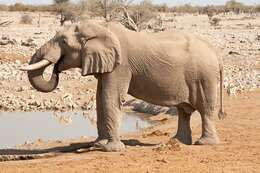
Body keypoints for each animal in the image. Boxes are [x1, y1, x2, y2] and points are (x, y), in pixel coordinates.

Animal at [20, 21, 224, 151]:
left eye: (63, 42)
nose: (56, 69)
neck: (99, 27)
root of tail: (215, 53)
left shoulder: (120, 65)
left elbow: (110, 96)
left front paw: (112, 149)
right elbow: (100, 97)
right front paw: (98, 145)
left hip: (204, 76)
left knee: (205, 109)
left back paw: (204, 144)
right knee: (184, 111)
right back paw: (178, 142)